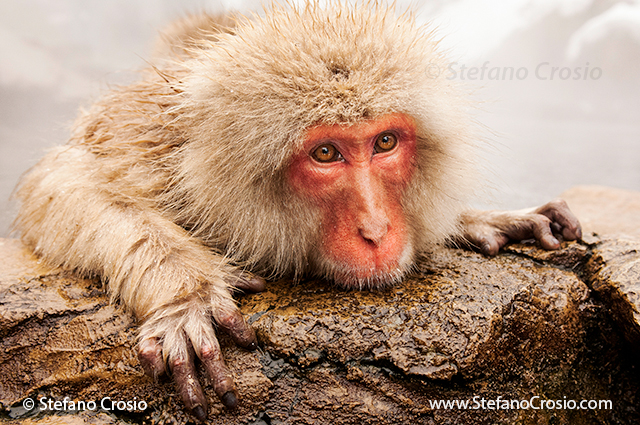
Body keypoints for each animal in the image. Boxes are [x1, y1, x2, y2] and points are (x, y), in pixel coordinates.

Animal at [13, 2, 582, 422]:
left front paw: (473, 218)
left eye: (385, 142)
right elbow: (63, 179)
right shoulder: (151, 149)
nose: (376, 229)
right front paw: (183, 294)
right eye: (325, 153)